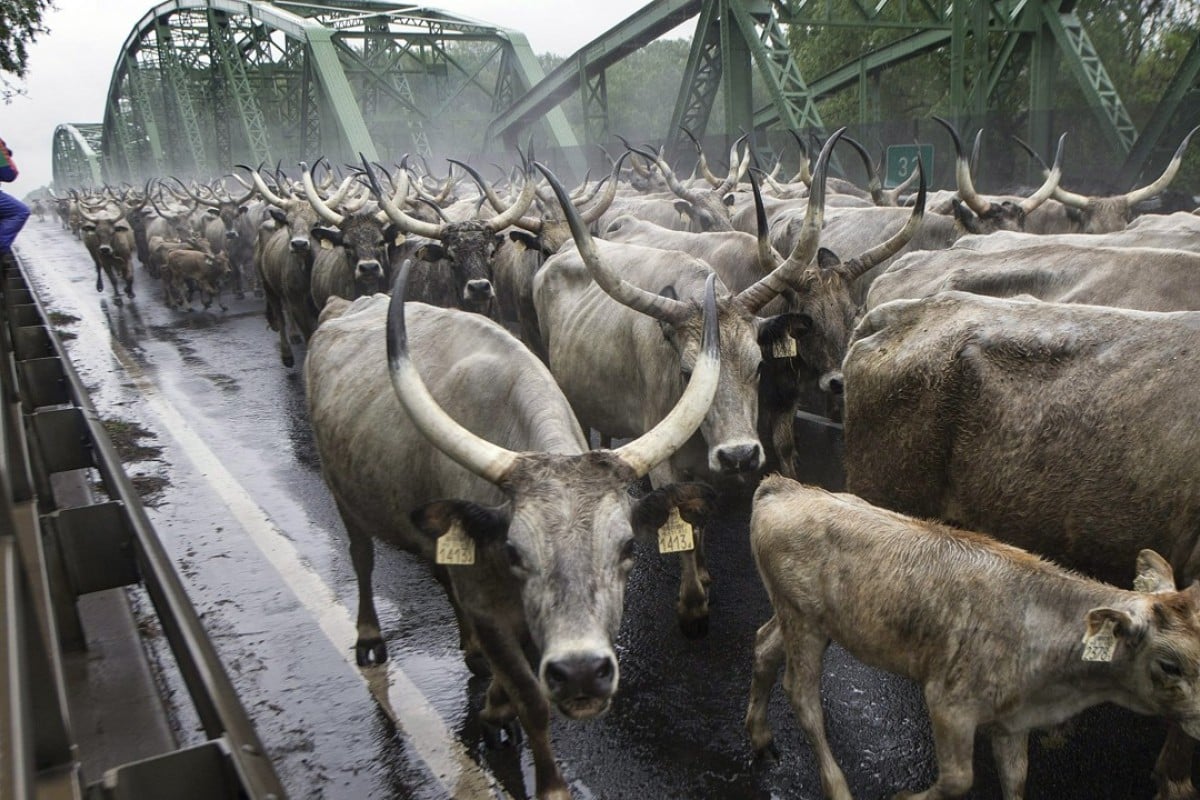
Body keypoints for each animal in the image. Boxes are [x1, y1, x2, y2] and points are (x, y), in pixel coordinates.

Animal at [309, 260, 720, 800]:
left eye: (628, 547)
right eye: (514, 552)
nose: (582, 673)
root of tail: (343, 305)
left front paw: (493, 708)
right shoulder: (490, 607)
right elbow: (532, 697)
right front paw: (549, 781)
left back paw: (470, 654)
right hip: (341, 492)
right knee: (361, 557)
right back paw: (370, 637)